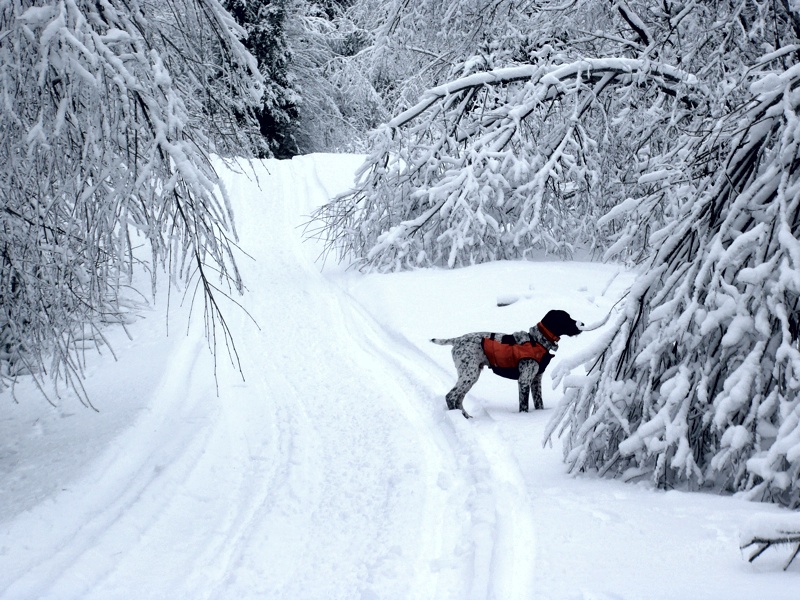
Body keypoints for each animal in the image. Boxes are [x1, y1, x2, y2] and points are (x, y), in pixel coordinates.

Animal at [432, 310, 580, 418]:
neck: (537, 340)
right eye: (566, 318)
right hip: (469, 375)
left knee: (459, 399)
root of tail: (457, 340)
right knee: (450, 396)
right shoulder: (524, 381)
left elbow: (539, 403)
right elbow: (524, 407)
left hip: (471, 376)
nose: (581, 324)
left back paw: (466, 417)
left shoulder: (536, 380)